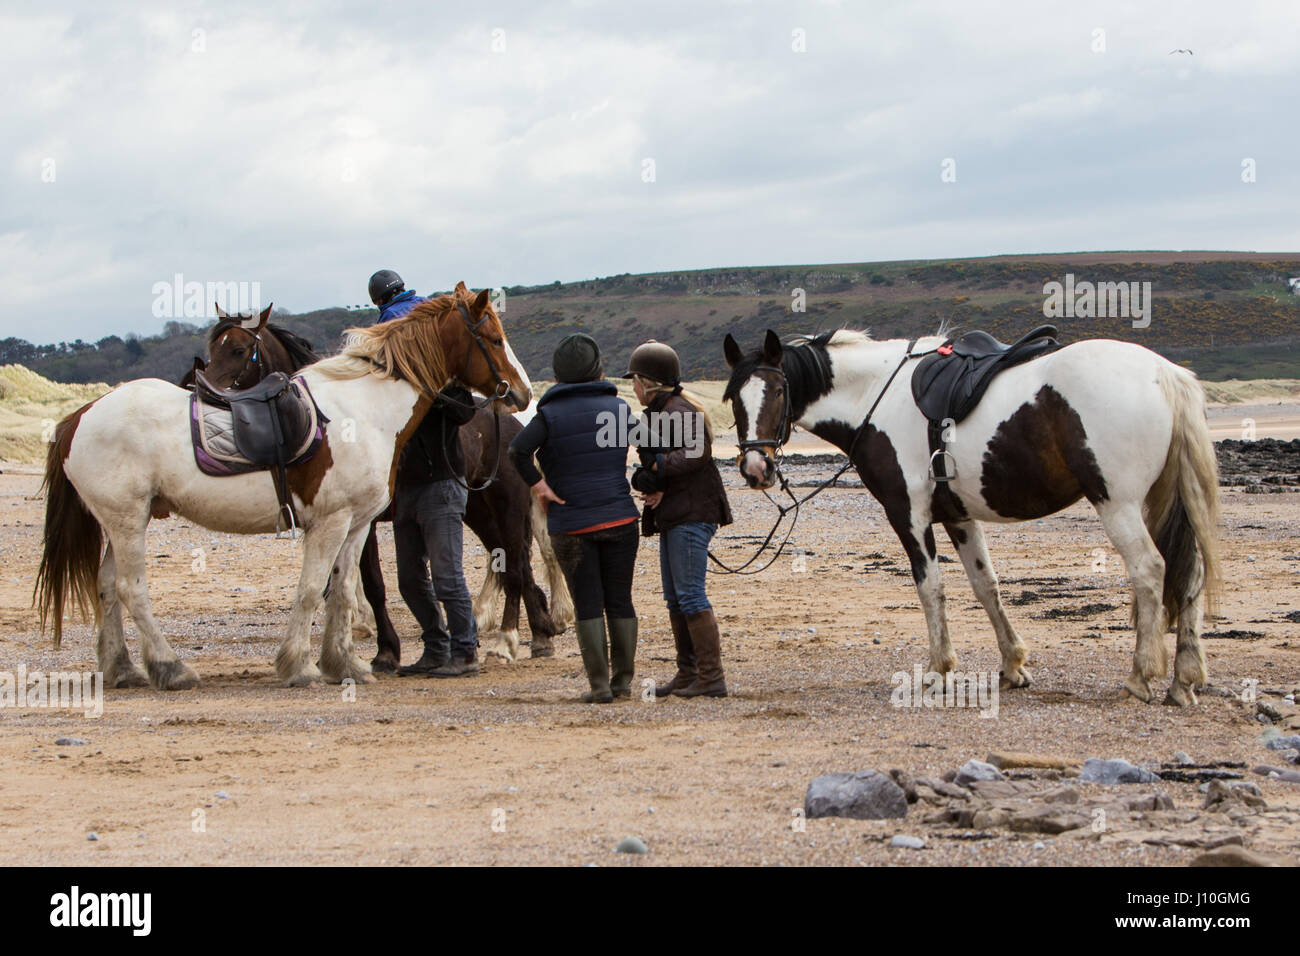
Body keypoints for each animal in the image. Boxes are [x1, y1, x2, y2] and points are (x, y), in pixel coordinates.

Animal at [185, 304, 572, 665]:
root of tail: (516, 420)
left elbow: (370, 583)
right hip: (478, 510)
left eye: (238, 349)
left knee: (517, 561)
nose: (207, 394)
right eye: (213, 348)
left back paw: (519, 633)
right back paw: (537, 628)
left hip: (504, 504)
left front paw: (382, 646)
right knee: (509, 561)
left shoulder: (362, 520)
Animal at [728, 332, 1222, 707]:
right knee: (1190, 575)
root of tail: (1165, 374)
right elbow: (987, 586)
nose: (756, 469)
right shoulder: (958, 517)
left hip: (1117, 504)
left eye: (777, 391)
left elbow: (931, 589)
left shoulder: (908, 514)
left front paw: (938, 670)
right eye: (734, 398)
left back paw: (1141, 675)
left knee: (1150, 570)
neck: (876, 396)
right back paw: (1184, 679)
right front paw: (1013, 665)